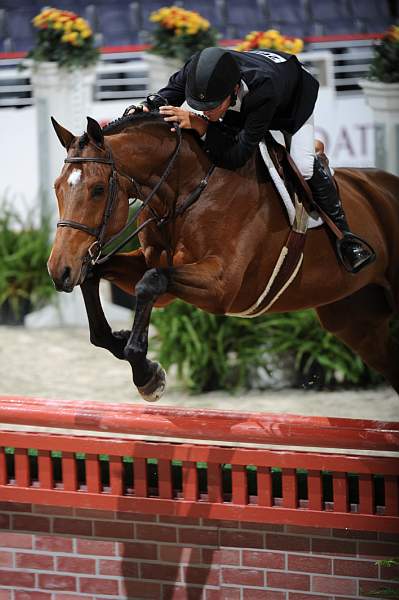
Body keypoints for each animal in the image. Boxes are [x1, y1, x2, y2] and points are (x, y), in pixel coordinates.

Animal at [48, 114, 399, 400]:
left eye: (97, 189)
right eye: (56, 188)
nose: (58, 270)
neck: (186, 188)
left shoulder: (221, 286)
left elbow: (150, 283)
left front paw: (146, 375)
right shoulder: (153, 265)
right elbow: (97, 278)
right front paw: (121, 343)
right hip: (355, 321)